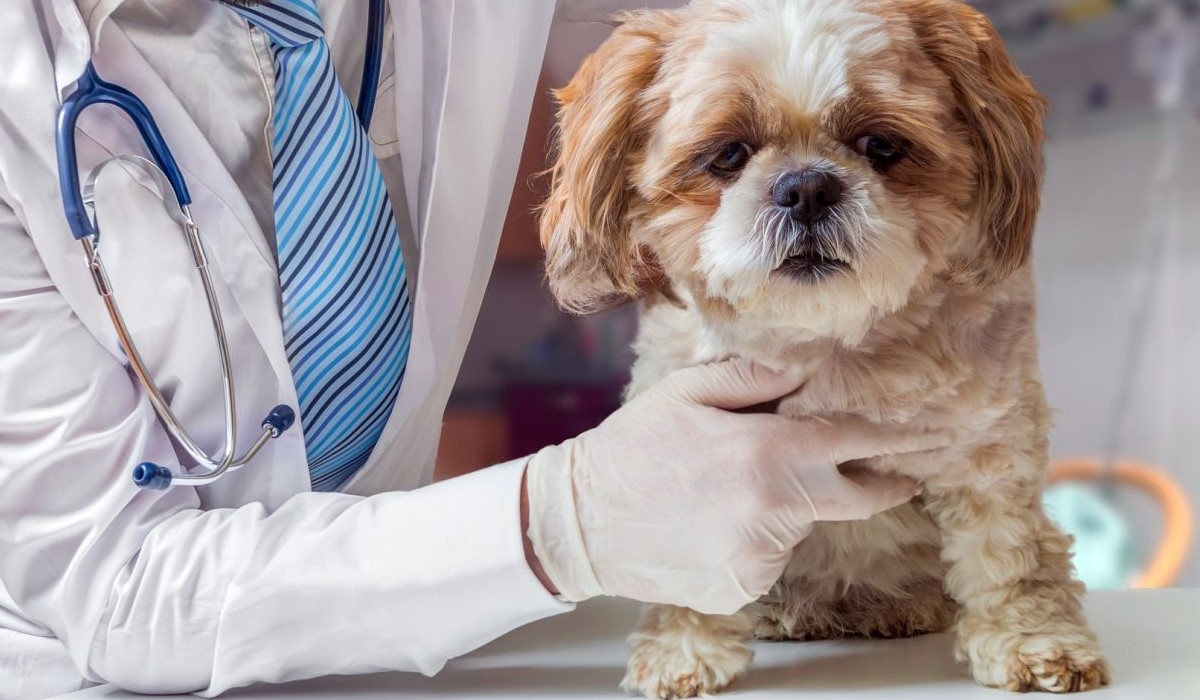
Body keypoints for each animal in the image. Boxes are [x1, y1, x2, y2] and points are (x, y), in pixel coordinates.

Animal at [540, 0, 1108, 696]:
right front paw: (683, 651)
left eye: (881, 145)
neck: (828, 345)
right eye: (728, 154)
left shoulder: (990, 450)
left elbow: (1010, 556)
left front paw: (1035, 643)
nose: (807, 186)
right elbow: (689, 564)